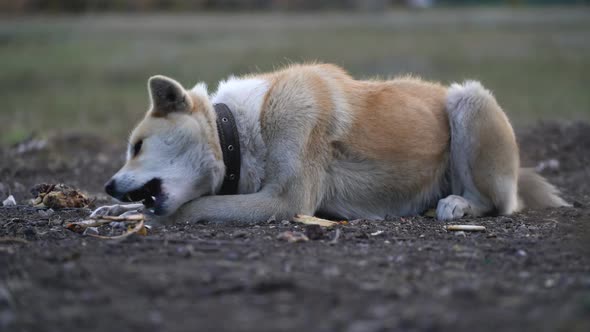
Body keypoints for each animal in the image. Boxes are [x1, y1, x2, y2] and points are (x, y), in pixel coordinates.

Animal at [93, 63, 572, 223]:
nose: (108, 186)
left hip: (469, 99)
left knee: (498, 203)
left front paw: (132, 218)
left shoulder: (286, 201)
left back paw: (458, 204)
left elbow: (193, 207)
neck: (241, 133)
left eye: (138, 146)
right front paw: (110, 211)